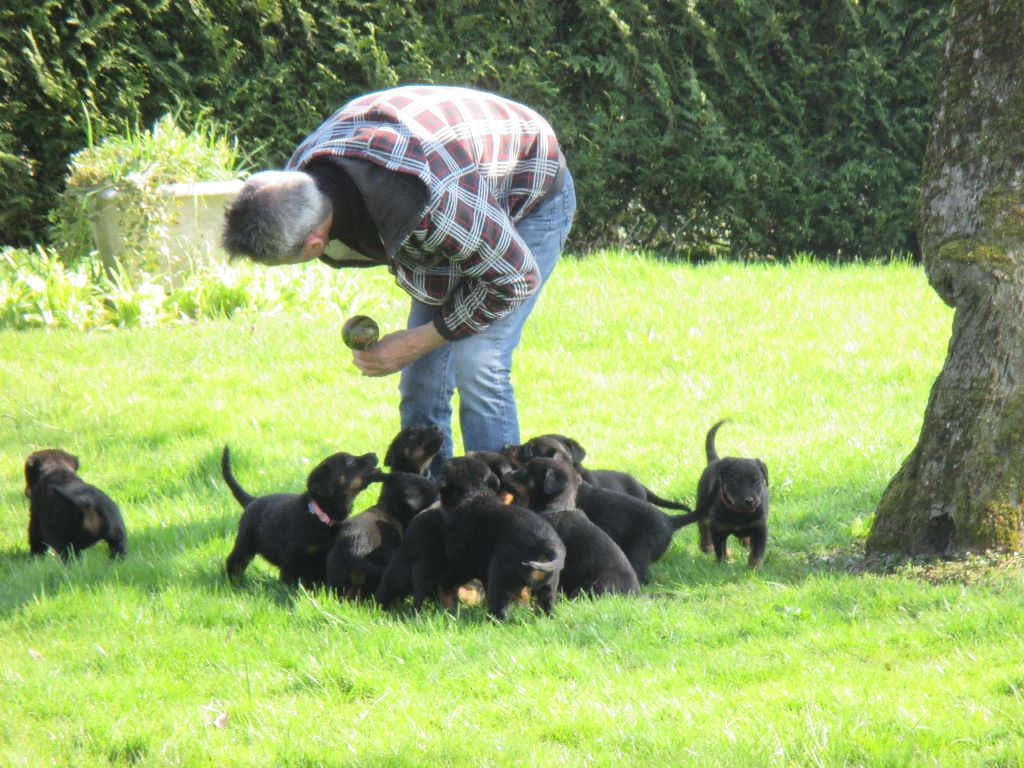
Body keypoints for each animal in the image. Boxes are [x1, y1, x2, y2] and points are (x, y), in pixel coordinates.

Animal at [223, 444, 380, 589]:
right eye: (349, 462)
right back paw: (236, 583)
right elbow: (288, 580)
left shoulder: (324, 558)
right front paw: (289, 592)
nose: (374, 453)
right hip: (245, 543)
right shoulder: (291, 557)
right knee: (235, 561)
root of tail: (251, 500)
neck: (319, 515)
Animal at [692, 421, 770, 573]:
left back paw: (746, 543)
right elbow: (720, 549)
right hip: (703, 503)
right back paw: (707, 546)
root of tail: (715, 461)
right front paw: (724, 563)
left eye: (757, 482)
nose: (749, 501)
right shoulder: (718, 528)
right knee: (703, 525)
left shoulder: (760, 527)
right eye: (736, 482)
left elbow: (757, 552)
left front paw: (754, 568)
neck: (739, 514)